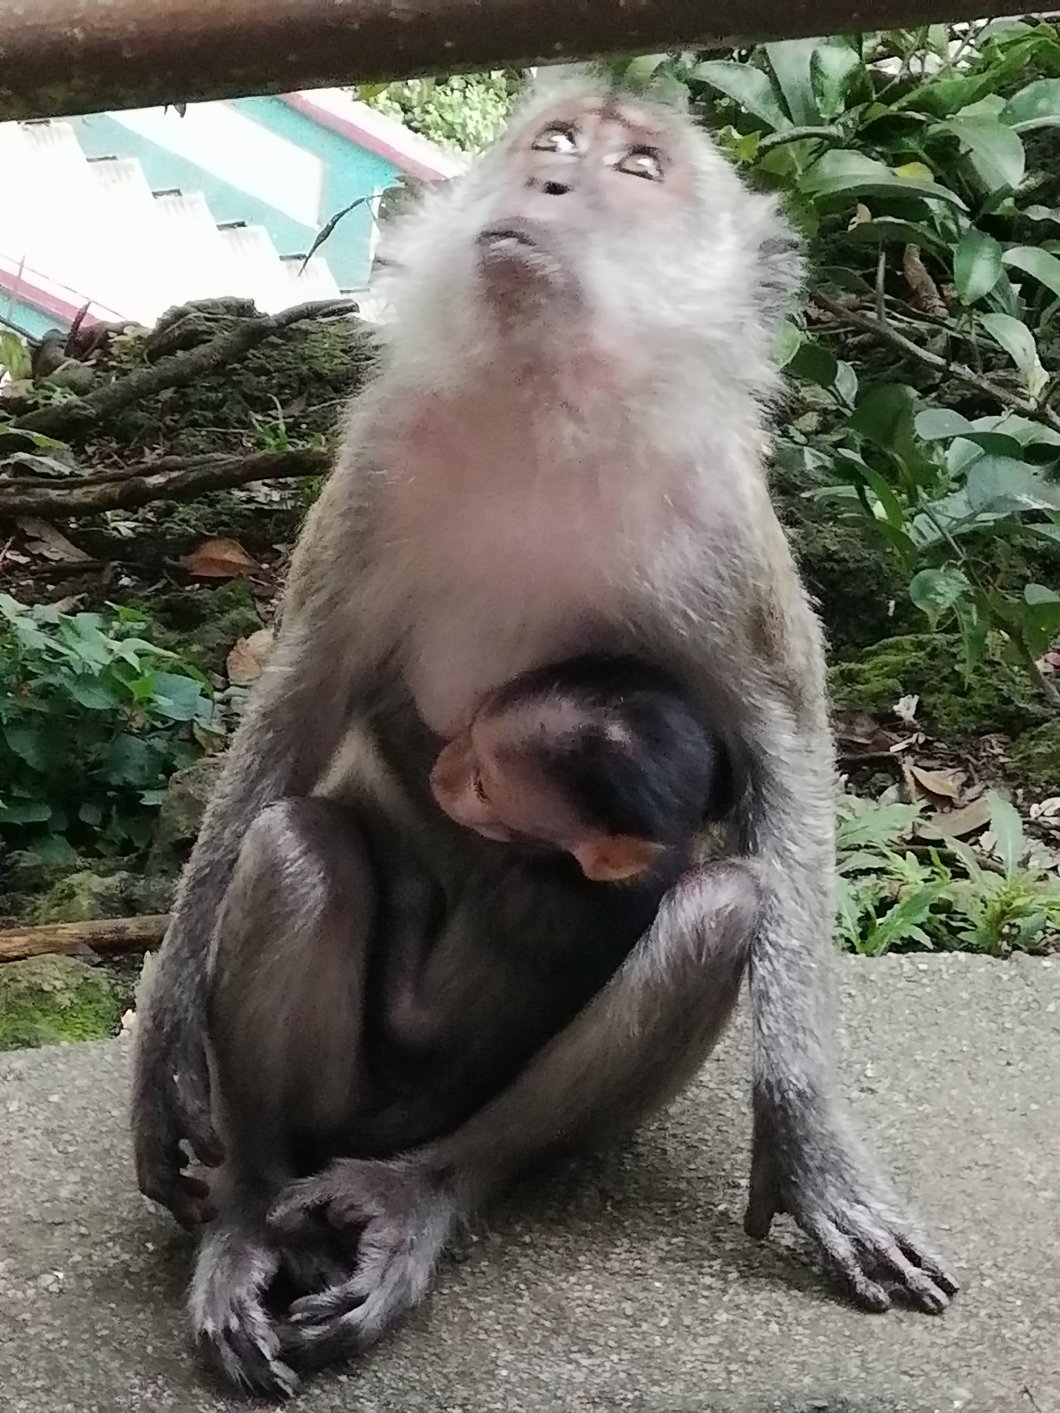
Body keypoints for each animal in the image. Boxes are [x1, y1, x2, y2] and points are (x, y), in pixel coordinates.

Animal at [130, 80, 958, 1398]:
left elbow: (784, 751)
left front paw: (806, 1138)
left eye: (638, 169)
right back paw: (254, 1209)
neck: (541, 404)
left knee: (722, 911)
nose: (552, 185)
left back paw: (423, 1194)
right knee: (295, 843)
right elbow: (299, 701)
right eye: (556, 144)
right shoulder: (376, 468)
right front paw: (161, 1057)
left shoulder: (719, 519)